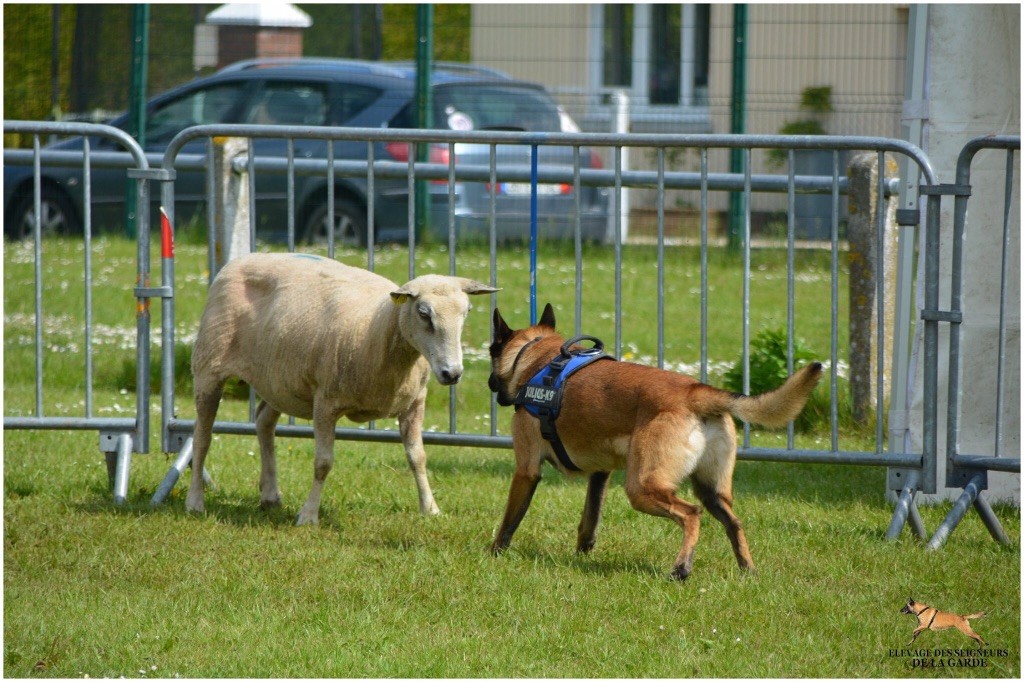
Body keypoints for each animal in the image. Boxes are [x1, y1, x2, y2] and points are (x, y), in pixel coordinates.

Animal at [188, 251, 499, 522]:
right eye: (424, 313)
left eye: (467, 312)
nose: (452, 373)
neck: (379, 329)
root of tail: (244, 258)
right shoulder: (325, 403)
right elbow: (323, 463)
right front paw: (308, 516)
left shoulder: (414, 403)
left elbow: (417, 458)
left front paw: (430, 509)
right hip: (209, 366)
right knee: (202, 437)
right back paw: (195, 502)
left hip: (278, 380)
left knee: (264, 422)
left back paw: (270, 496)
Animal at [487, 305, 823, 577]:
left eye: (491, 352)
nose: (489, 384)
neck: (537, 358)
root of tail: (694, 392)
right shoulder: (601, 475)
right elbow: (589, 520)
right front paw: (582, 554)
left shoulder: (527, 470)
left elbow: (509, 520)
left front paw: (494, 553)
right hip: (711, 489)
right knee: (733, 522)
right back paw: (747, 570)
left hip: (642, 487)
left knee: (691, 515)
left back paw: (681, 568)